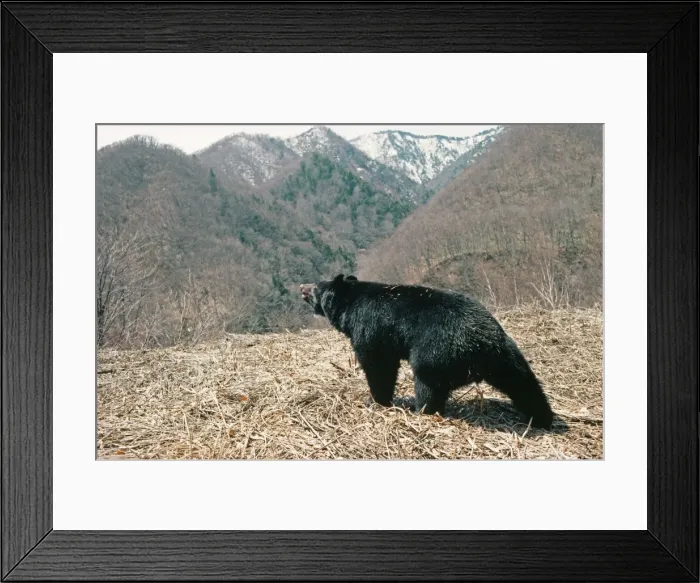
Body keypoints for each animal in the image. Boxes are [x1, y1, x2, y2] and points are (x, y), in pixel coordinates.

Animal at [300, 274, 554, 429]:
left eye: (316, 287)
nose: (301, 286)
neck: (350, 304)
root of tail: (485, 343)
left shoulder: (371, 328)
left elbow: (378, 364)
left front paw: (375, 400)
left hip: (435, 354)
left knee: (428, 385)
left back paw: (421, 411)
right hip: (508, 358)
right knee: (524, 384)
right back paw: (543, 418)